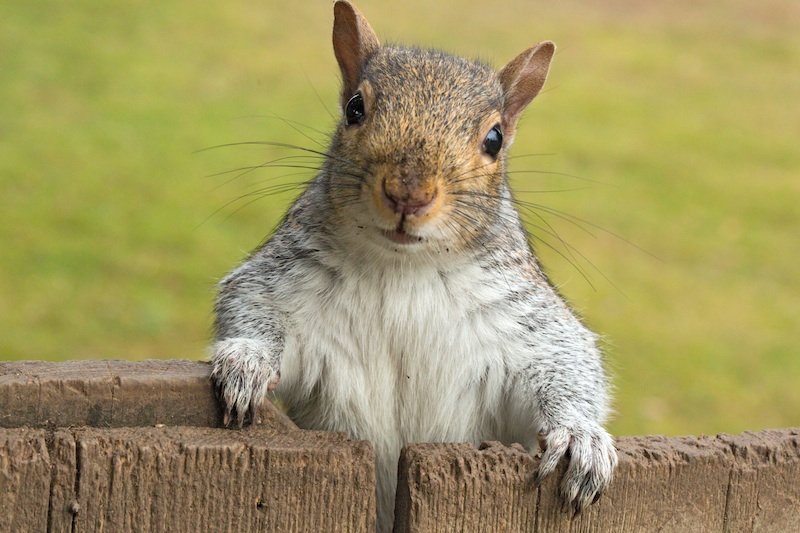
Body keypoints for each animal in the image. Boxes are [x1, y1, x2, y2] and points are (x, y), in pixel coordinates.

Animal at [211, 1, 618, 530]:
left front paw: (579, 437)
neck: (403, 268)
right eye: (354, 108)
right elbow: (249, 302)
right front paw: (247, 363)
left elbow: (564, 355)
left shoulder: (520, 316)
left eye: (494, 138)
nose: (409, 192)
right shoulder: (281, 281)